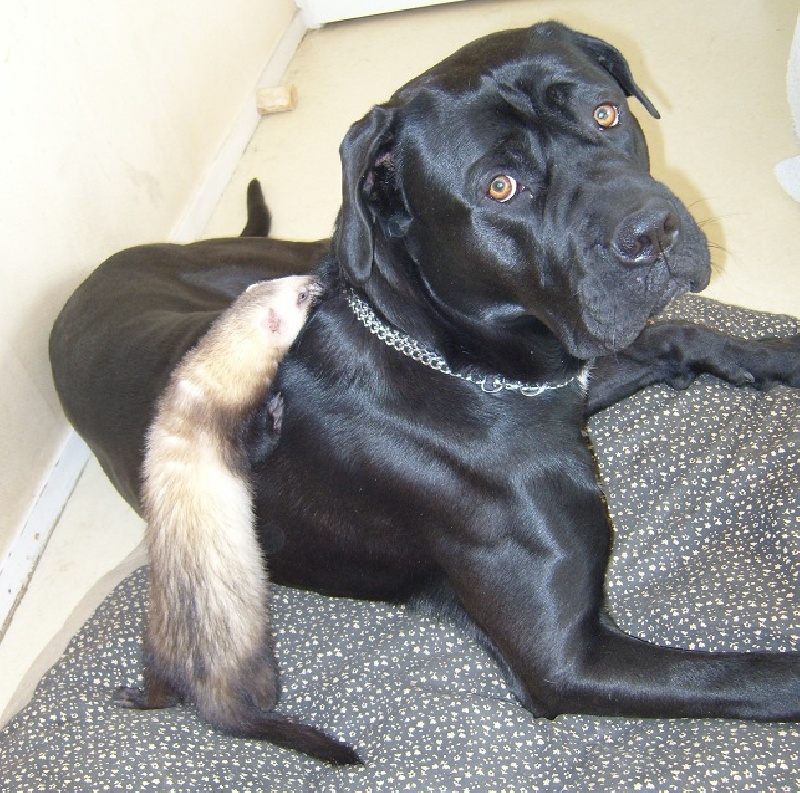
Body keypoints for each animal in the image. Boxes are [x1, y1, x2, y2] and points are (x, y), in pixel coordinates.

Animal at [51, 21, 800, 756]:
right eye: (500, 186)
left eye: (606, 113)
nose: (653, 230)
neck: (455, 360)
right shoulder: (565, 659)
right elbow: (746, 674)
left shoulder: (565, 378)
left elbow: (678, 334)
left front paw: (776, 353)